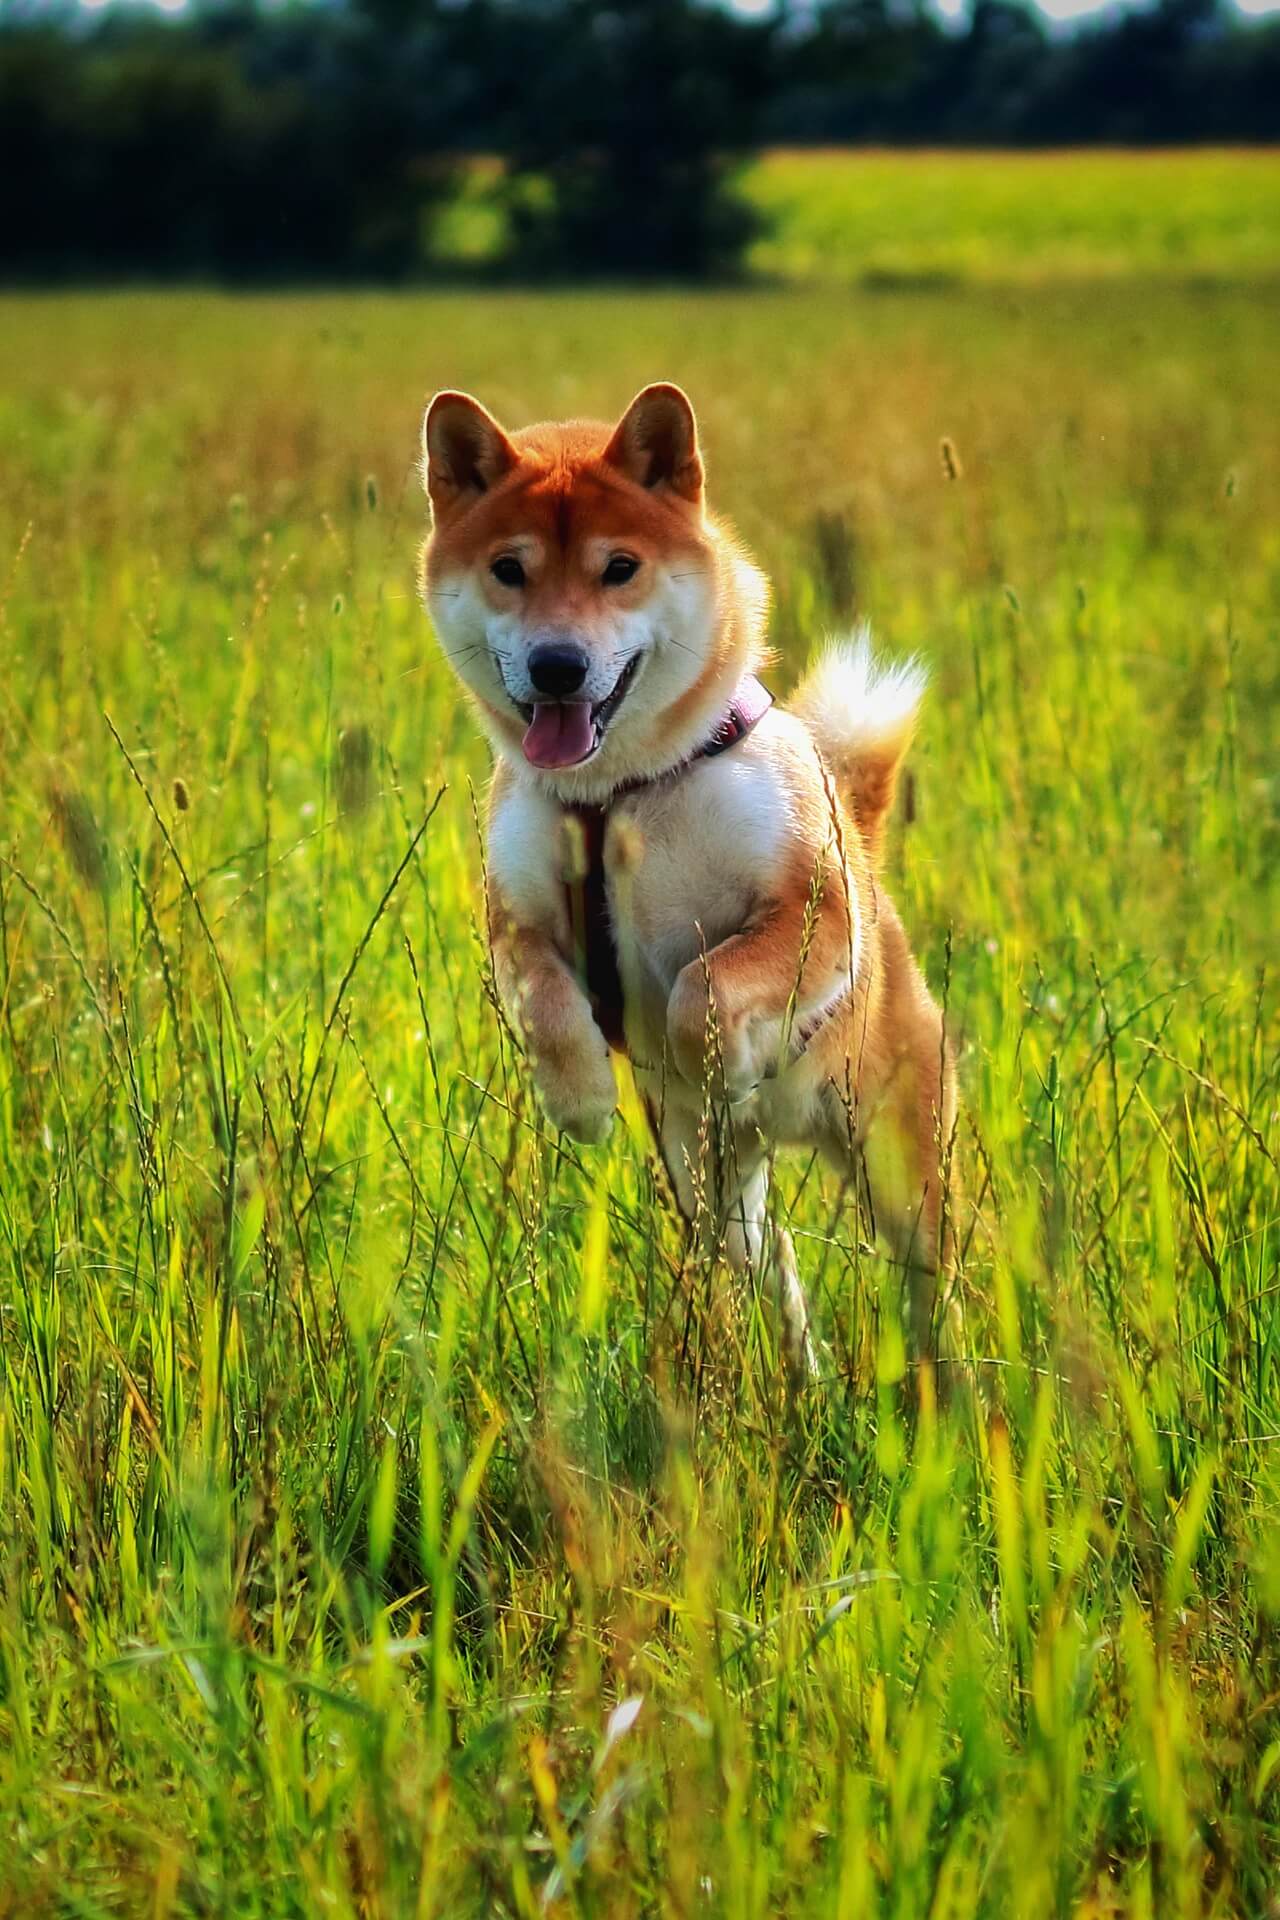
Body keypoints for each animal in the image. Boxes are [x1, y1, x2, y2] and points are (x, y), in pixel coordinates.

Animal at [426, 382, 955, 1374]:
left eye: (620, 568)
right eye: (509, 570)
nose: (558, 664)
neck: (623, 792)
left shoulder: (812, 909)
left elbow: (703, 986)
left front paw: (725, 1056)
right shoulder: (517, 923)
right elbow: (549, 1006)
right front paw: (582, 1099)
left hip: (900, 1165)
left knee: (932, 1280)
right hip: (714, 1194)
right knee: (767, 1263)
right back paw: (801, 1377)